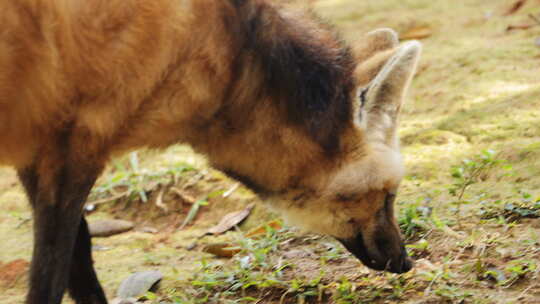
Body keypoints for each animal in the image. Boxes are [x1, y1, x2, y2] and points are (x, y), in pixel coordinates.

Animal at [0, 0, 422, 302]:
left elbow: (78, 256)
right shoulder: (75, 152)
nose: (405, 261)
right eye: (388, 196)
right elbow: (56, 274)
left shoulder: (42, 151)